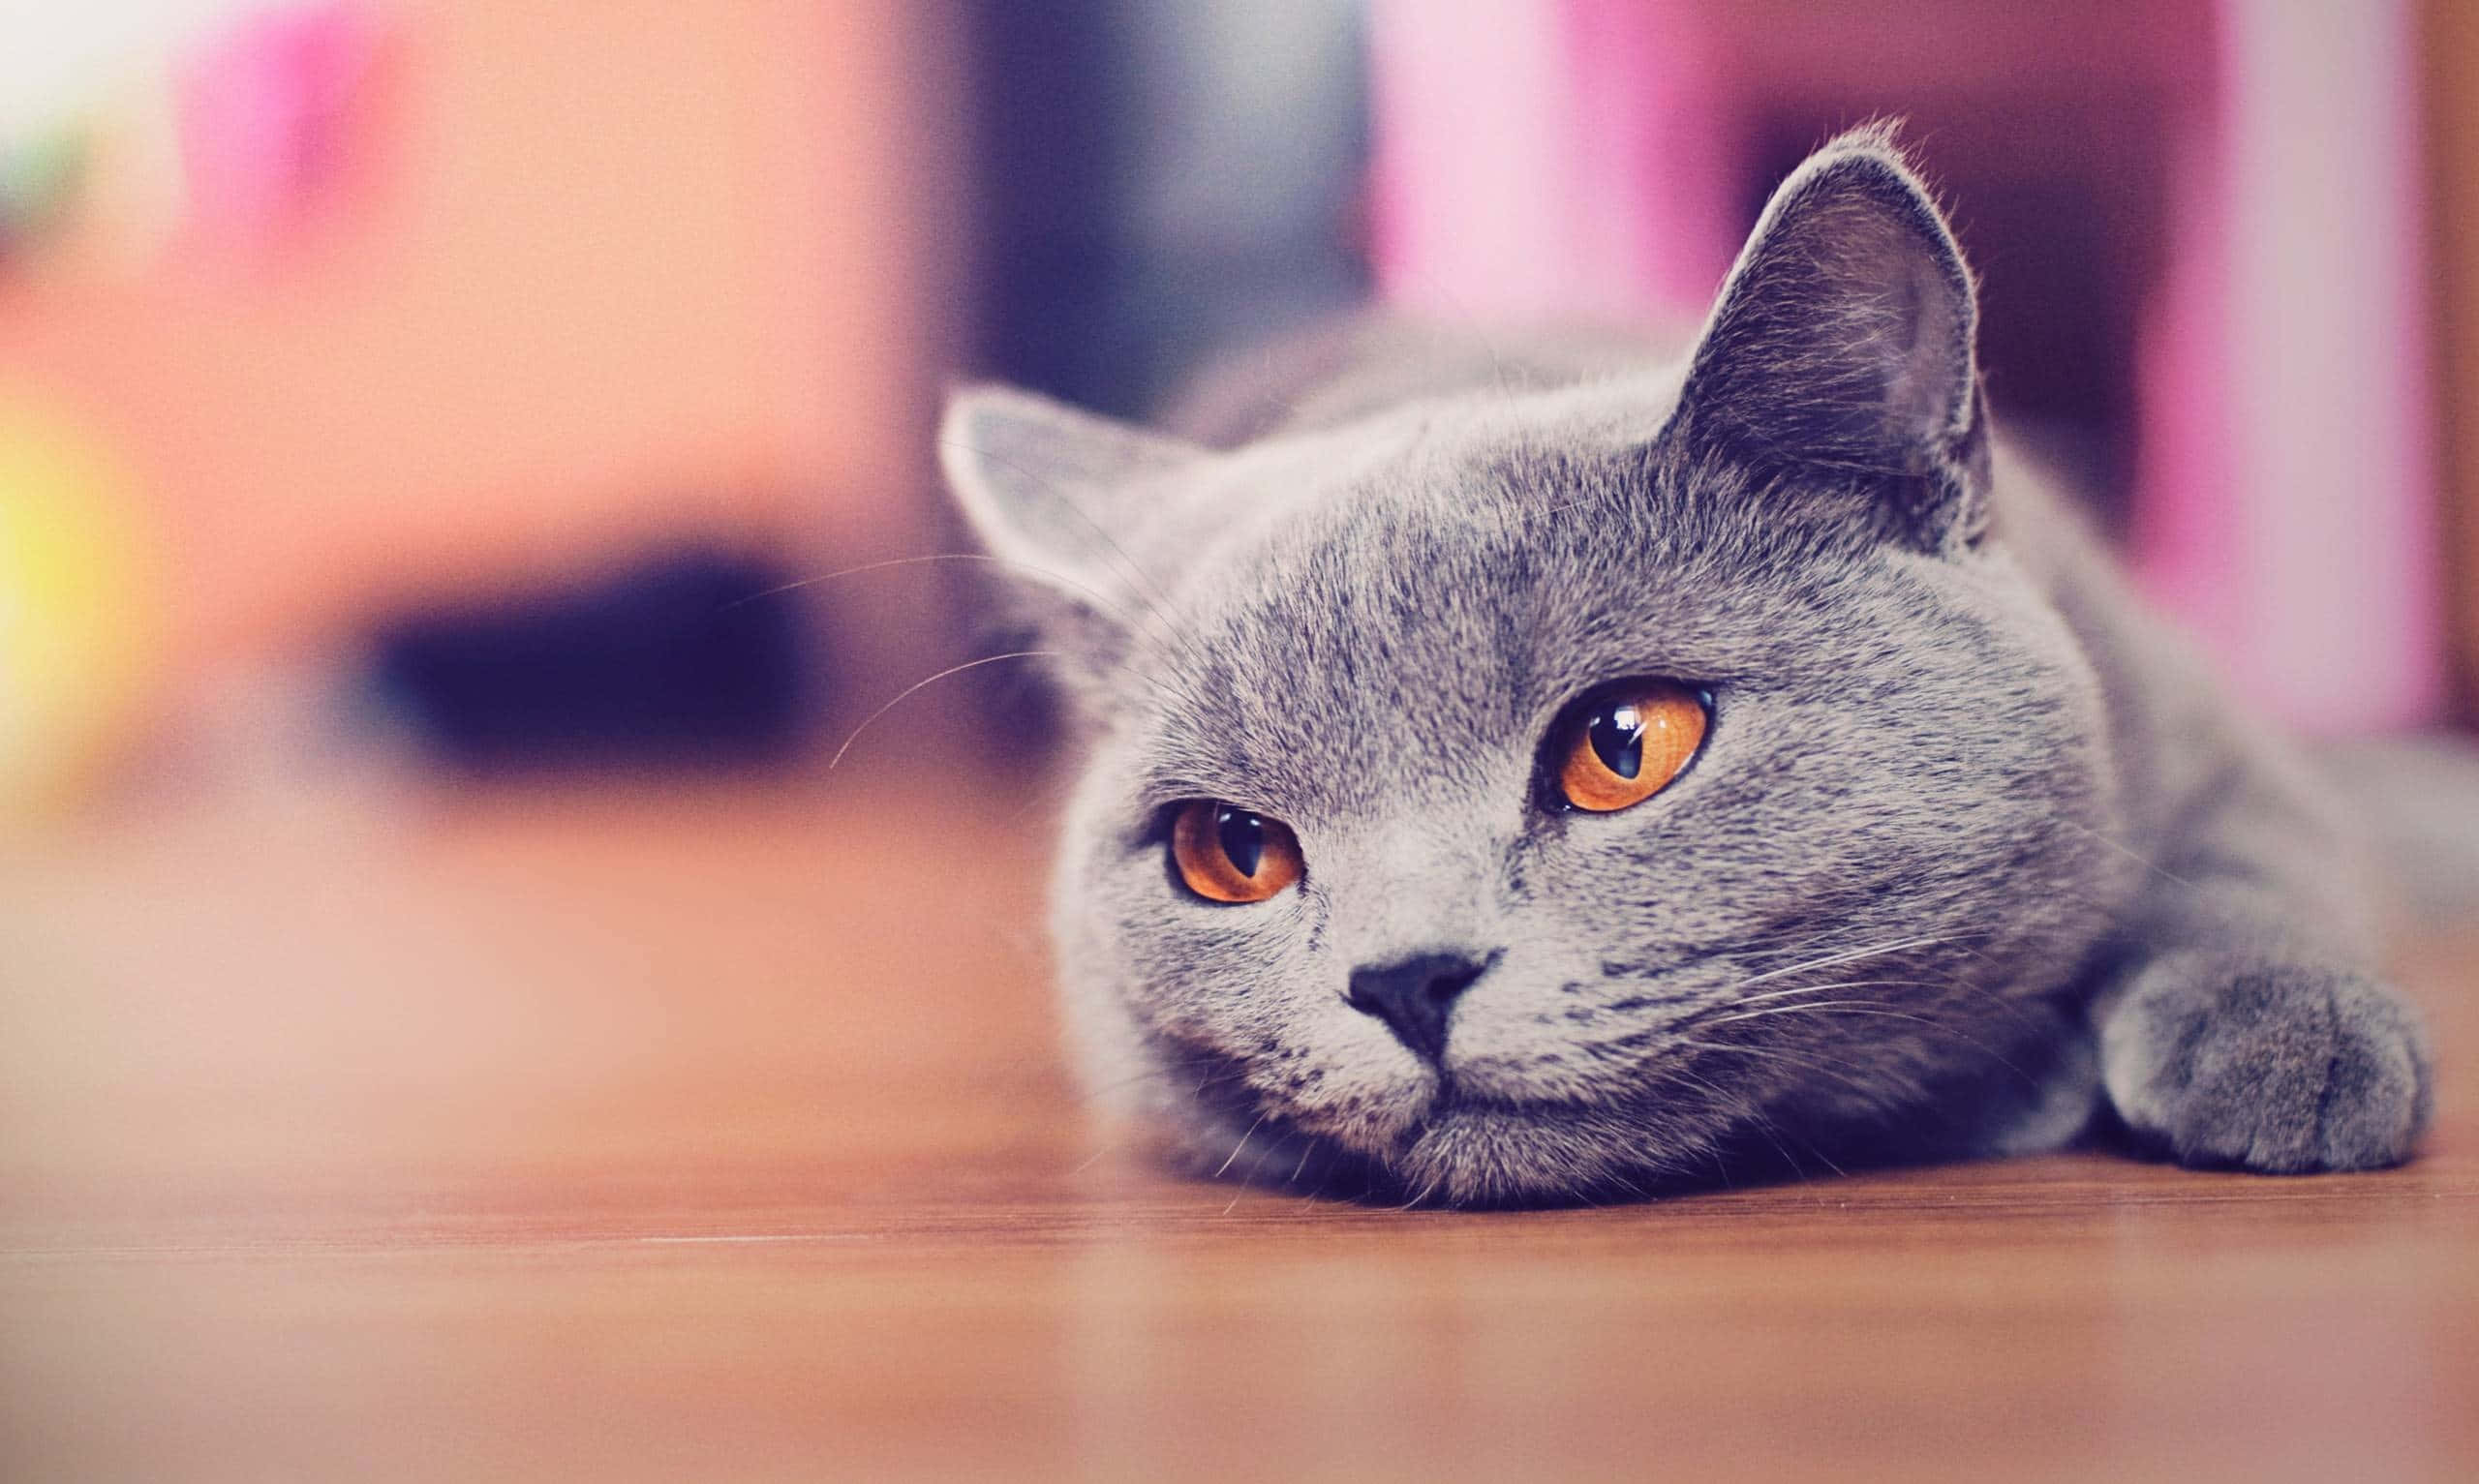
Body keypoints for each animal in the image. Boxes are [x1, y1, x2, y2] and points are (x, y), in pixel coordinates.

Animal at [936, 122, 2429, 1203]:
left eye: (1625, 745)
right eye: (1231, 850)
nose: (1407, 977)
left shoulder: (2191, 712)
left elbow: (2251, 857)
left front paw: (2284, 1035)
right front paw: (2040, 1085)